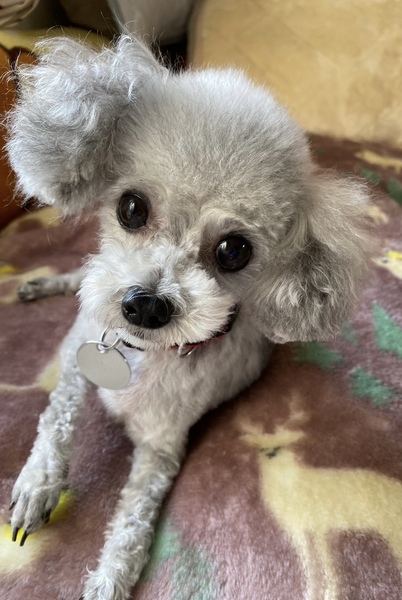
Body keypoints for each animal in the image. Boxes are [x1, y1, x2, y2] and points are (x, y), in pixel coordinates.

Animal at [6, 34, 372, 600]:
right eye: (131, 208)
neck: (137, 357)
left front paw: (108, 580)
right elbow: (55, 422)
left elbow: (131, 527)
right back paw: (44, 284)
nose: (145, 304)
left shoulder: (160, 451)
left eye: (234, 251)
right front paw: (37, 485)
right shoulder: (77, 364)